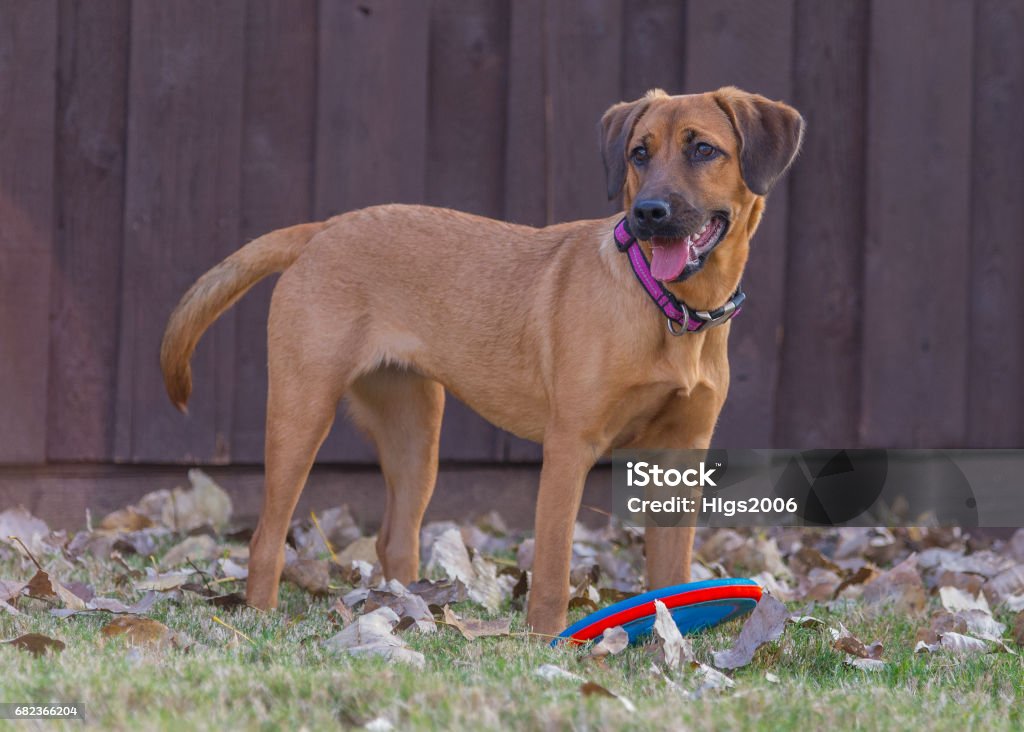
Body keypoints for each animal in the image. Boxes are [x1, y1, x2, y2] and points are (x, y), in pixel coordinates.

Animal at [159, 85, 802, 634]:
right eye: (638, 154)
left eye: (703, 150)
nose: (647, 213)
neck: (669, 309)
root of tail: (323, 229)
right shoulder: (570, 446)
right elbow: (553, 564)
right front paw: (544, 640)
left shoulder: (681, 454)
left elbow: (671, 570)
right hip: (302, 412)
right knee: (267, 537)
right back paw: (259, 617)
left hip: (415, 433)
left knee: (396, 538)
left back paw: (407, 608)